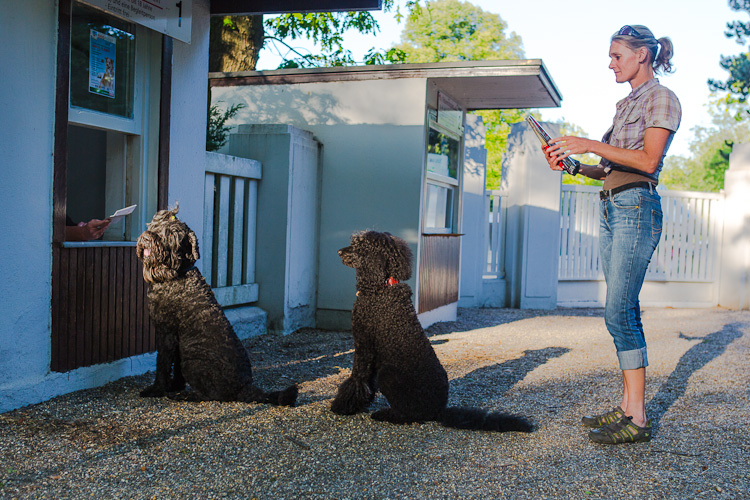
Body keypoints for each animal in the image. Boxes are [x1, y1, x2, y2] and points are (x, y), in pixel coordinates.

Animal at [137, 207, 298, 406]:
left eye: (172, 234)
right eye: (157, 223)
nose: (146, 239)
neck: (177, 273)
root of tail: (245, 386)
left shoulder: (166, 332)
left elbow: (163, 363)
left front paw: (157, 389)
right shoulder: (178, 339)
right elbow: (175, 367)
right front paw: (175, 386)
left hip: (193, 362)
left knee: (210, 395)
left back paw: (185, 396)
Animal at [330, 232, 536, 432]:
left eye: (359, 246)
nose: (338, 252)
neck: (381, 288)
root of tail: (439, 411)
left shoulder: (363, 345)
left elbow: (357, 378)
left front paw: (342, 406)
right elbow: (365, 382)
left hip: (387, 374)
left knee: (409, 415)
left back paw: (386, 415)